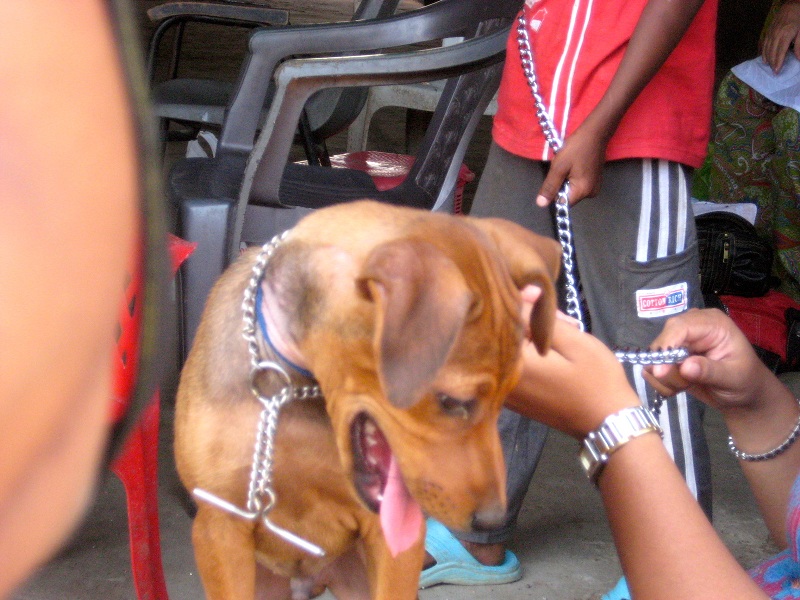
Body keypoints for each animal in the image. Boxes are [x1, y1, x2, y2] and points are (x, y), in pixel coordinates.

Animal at [175, 200, 560, 599]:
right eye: (452, 401)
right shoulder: (220, 524)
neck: (294, 389)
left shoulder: (390, 534)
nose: (492, 520)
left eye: (509, 395)